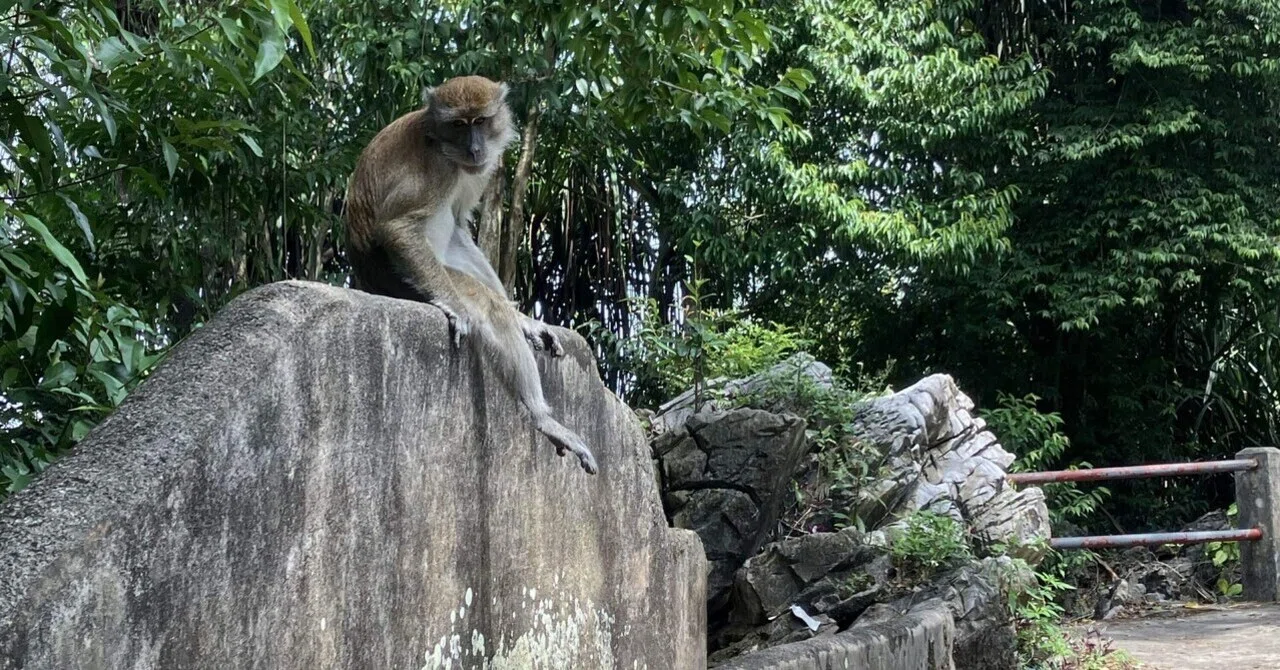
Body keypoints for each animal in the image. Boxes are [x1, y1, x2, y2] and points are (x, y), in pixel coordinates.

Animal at [343, 75, 598, 475]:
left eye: (480, 121)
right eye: (460, 125)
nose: (476, 149)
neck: (443, 145)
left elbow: (460, 227)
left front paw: (525, 321)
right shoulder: (436, 170)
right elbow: (397, 228)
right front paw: (454, 306)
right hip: (402, 281)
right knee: (484, 303)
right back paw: (540, 417)